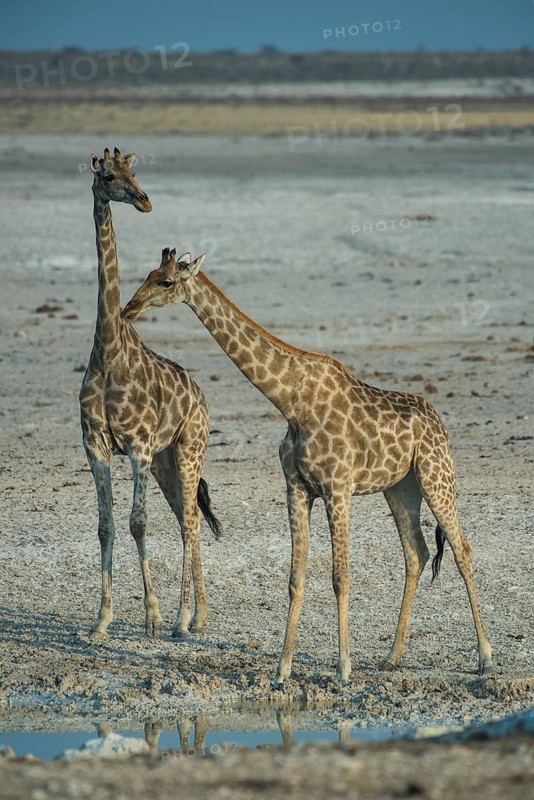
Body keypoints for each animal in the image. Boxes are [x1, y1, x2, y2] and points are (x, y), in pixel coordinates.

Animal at [80, 150, 221, 644]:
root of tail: (201, 397)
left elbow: (137, 523)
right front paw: (101, 620)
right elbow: (105, 526)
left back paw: (184, 619)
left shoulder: (137, 444)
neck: (108, 349)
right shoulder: (96, 443)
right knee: (186, 516)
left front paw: (153, 617)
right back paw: (199, 615)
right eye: (108, 176)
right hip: (165, 462)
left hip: (188, 448)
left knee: (191, 521)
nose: (144, 200)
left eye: (134, 172)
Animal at [122, 247, 494, 685]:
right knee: (416, 553)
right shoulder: (297, 488)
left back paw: (485, 658)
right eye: (148, 274)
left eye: (165, 282)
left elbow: (340, 577)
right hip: (400, 487)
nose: (129, 308)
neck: (292, 402)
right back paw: (392, 656)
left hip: (437, 475)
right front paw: (282, 671)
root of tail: (438, 422)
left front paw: (343, 669)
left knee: (462, 549)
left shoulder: (337, 488)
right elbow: (295, 579)